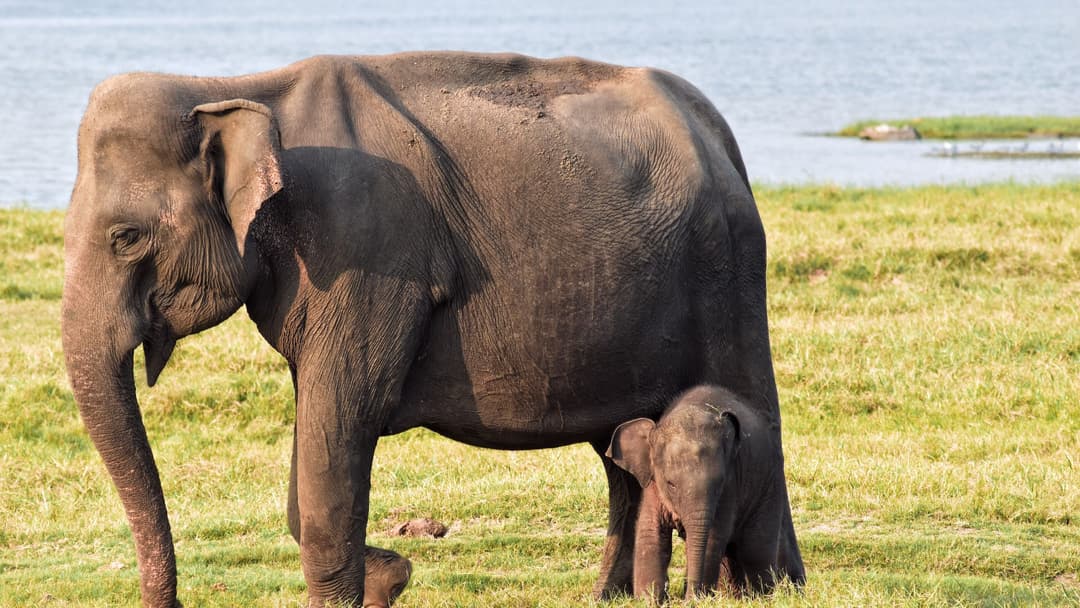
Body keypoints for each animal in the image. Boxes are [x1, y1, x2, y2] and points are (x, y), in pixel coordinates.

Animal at [606, 385, 805, 601]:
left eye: (719, 483)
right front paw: (649, 601)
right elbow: (650, 536)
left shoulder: (730, 486)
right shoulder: (652, 485)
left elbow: (712, 538)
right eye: (670, 484)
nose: (687, 598)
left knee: (755, 547)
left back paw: (763, 597)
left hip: (770, 482)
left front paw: (695, 600)